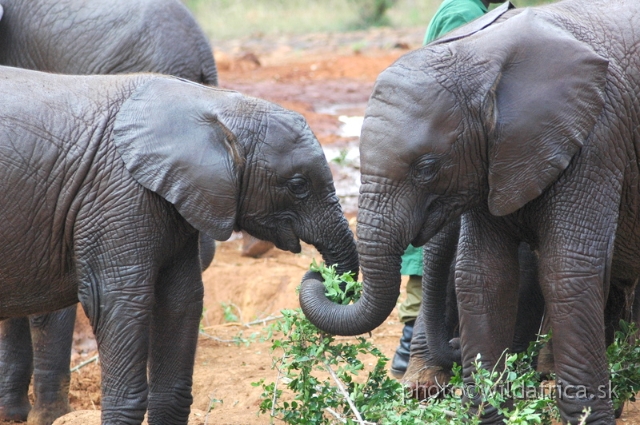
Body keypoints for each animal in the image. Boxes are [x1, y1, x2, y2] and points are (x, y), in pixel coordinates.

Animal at [0, 64, 360, 422]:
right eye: (298, 185)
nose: (320, 275)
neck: (214, 103)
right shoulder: (116, 198)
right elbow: (119, 303)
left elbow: (181, 301)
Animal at [302, 1, 640, 420]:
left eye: (427, 168)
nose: (317, 275)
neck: (483, 57)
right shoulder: (494, 159)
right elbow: (482, 275)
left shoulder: (597, 140)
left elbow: (567, 273)